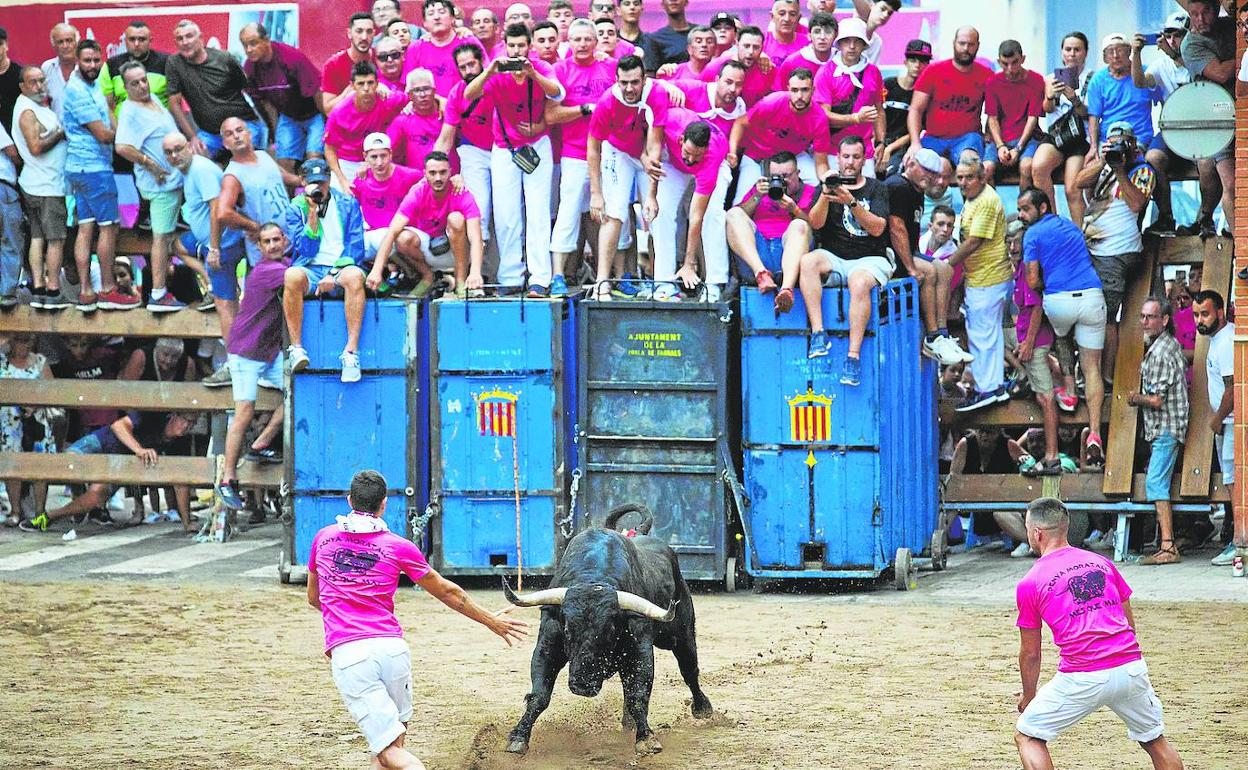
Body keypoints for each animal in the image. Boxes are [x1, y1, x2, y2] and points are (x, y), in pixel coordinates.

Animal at [499, 501, 713, 753]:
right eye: (567, 629)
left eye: (610, 631)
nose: (583, 685)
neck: (594, 577)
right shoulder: (547, 645)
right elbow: (539, 695)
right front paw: (518, 737)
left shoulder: (640, 650)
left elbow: (638, 693)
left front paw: (646, 738)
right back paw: (628, 721)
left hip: (682, 634)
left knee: (689, 670)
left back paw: (702, 708)